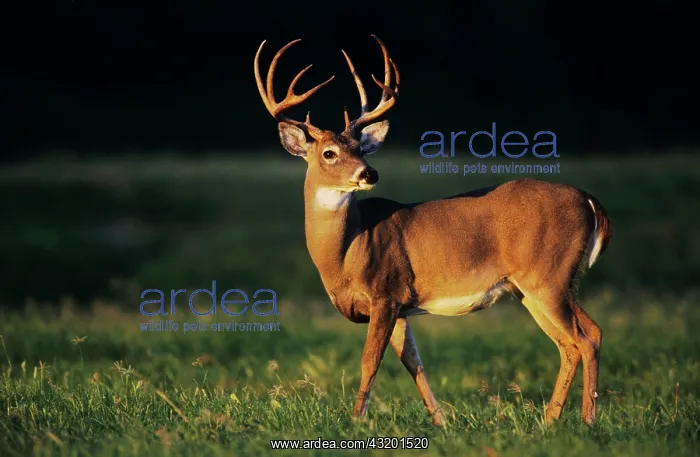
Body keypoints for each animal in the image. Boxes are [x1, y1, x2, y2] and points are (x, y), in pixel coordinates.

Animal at [253, 35, 613, 427]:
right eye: (330, 153)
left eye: (361, 148)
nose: (369, 172)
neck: (347, 252)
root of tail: (590, 200)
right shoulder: (400, 305)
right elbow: (414, 364)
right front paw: (440, 421)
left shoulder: (385, 292)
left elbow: (370, 361)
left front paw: (356, 419)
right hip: (533, 287)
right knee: (576, 339)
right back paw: (550, 420)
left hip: (548, 276)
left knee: (585, 338)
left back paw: (587, 419)